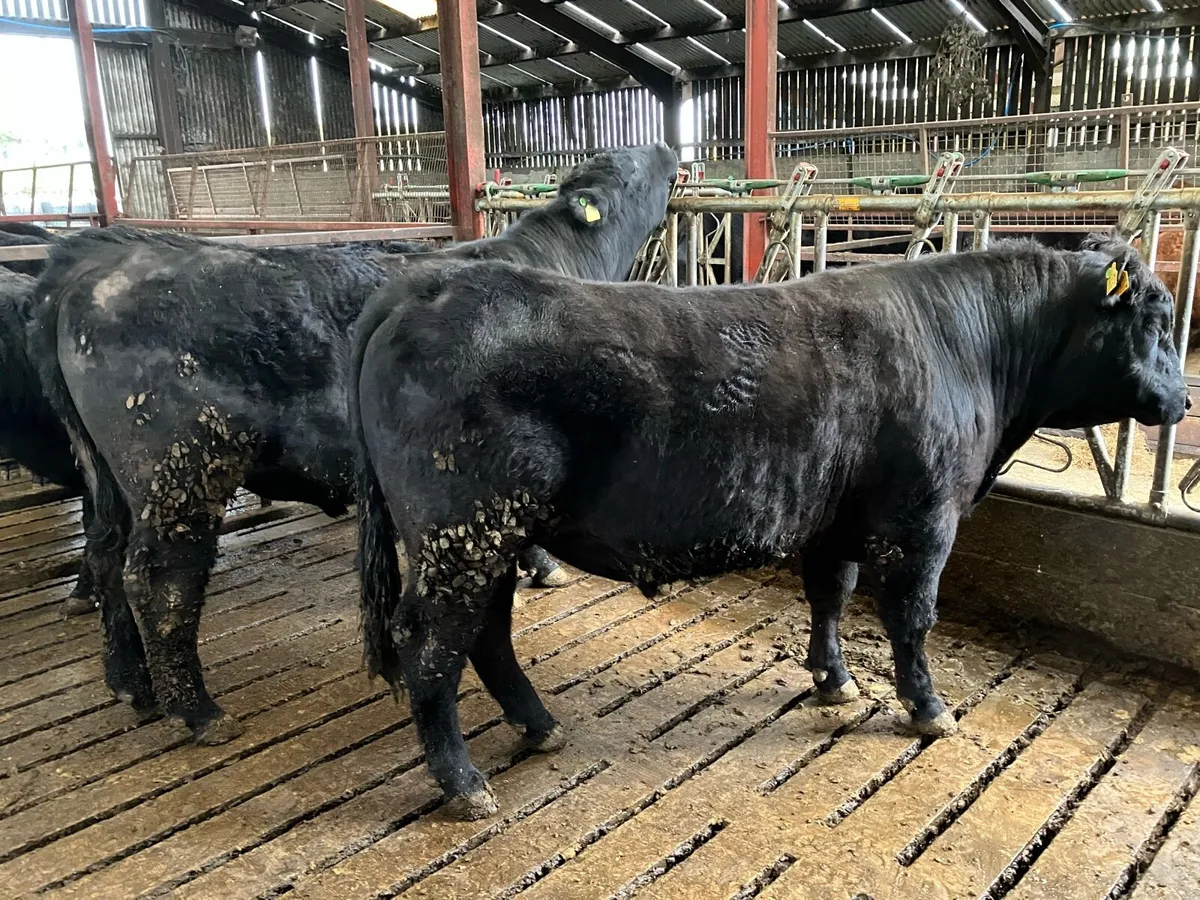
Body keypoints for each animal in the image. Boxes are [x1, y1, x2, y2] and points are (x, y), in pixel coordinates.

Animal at [29, 142, 679, 745]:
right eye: (627, 168)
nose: (667, 149)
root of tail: (96, 266)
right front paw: (543, 565)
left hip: (111, 481)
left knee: (105, 556)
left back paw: (130, 683)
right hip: (177, 471)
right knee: (158, 581)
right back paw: (198, 711)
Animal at [352, 234, 1188, 819]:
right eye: (1157, 321)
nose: (1182, 401)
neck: (963, 346)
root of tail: (426, 284)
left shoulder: (835, 521)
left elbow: (830, 596)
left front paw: (835, 680)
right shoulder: (922, 522)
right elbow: (911, 620)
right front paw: (928, 709)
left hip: (487, 539)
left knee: (486, 634)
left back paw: (538, 724)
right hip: (463, 532)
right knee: (431, 646)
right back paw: (464, 784)